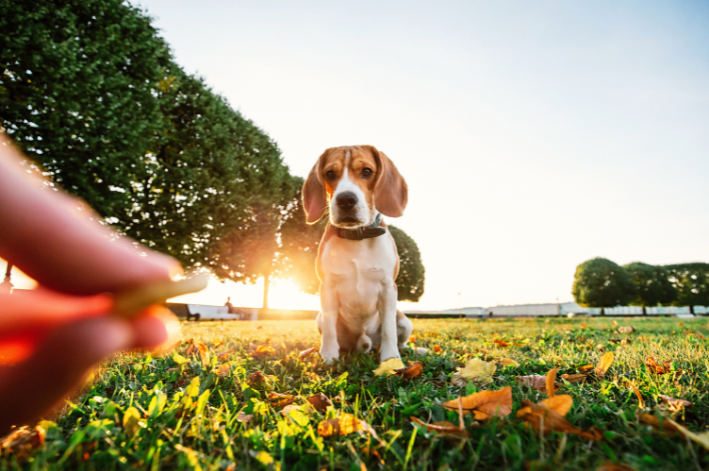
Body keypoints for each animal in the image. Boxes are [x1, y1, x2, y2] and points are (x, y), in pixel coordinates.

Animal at [302, 146, 414, 364]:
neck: (357, 236)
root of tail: (365, 346)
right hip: (319, 318)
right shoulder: (327, 288)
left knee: (402, 342)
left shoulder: (388, 288)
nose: (346, 200)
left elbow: (389, 330)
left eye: (367, 171)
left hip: (405, 320)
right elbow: (329, 330)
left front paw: (390, 361)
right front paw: (328, 358)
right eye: (330, 173)